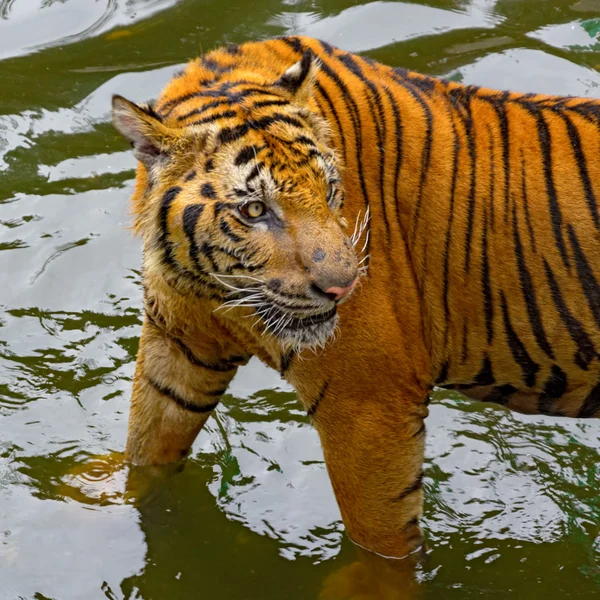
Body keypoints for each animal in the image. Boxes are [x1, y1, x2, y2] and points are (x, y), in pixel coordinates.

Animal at [111, 36, 600, 564]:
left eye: (328, 190)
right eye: (255, 209)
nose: (342, 287)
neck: (219, 290)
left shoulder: (368, 406)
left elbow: (380, 549)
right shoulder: (179, 342)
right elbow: (143, 450)